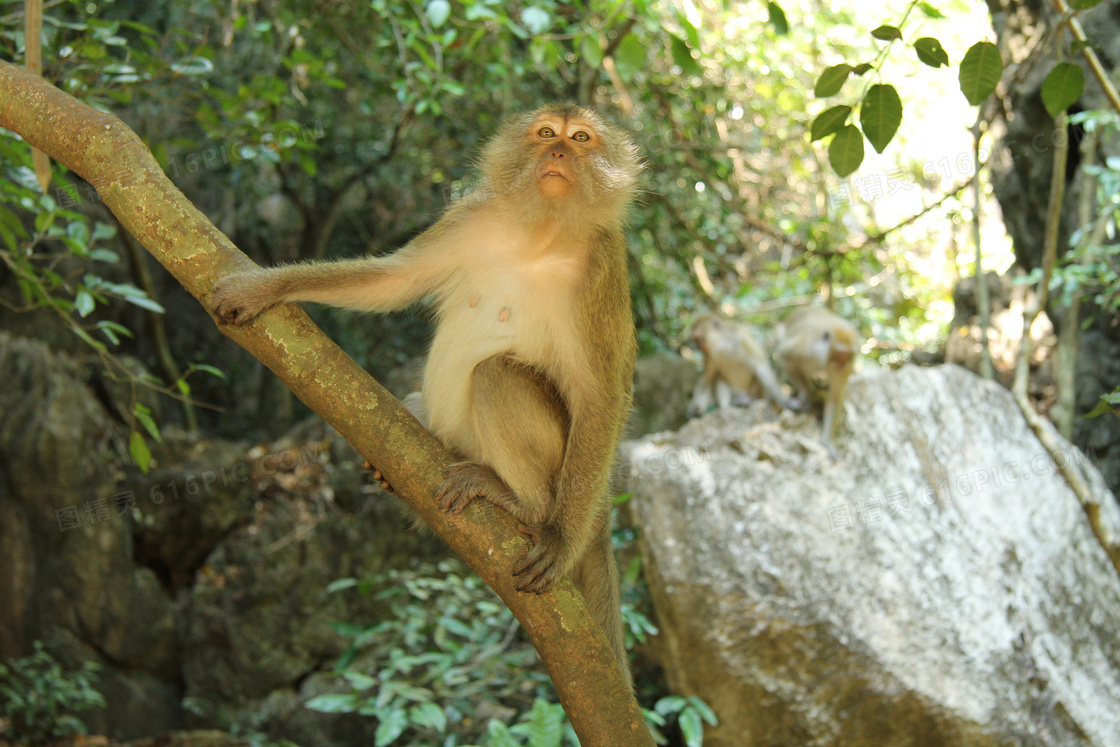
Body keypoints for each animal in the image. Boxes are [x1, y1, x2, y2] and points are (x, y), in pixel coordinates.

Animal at [210, 102, 640, 685]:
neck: (541, 234)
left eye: (581, 140)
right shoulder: (470, 217)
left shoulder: (602, 267)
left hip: (569, 472)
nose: (557, 152)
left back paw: (525, 506)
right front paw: (265, 287)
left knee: (498, 374)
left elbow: (602, 396)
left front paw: (559, 541)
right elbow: (391, 279)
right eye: (547, 133)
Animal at [775, 306, 860, 459]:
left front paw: (827, 441)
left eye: (848, 355)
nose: (842, 364)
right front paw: (808, 393)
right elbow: (786, 357)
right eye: (840, 354)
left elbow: (835, 396)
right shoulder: (805, 348)